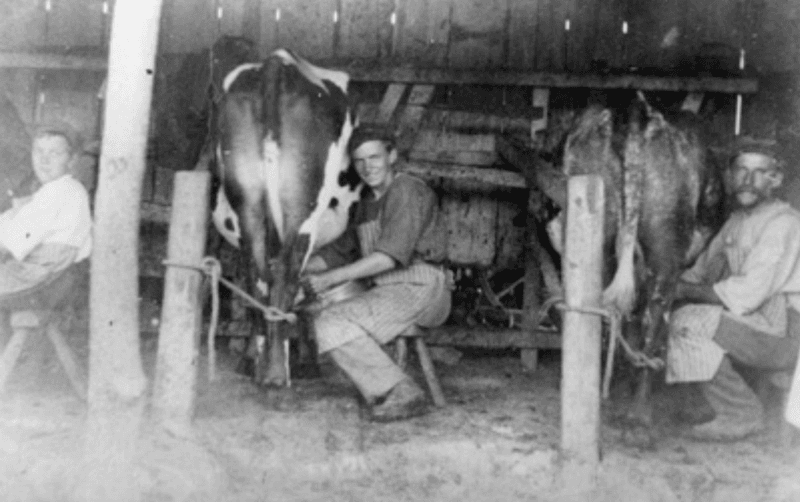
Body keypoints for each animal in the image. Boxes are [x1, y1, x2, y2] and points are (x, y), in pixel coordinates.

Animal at [214, 50, 360, 384]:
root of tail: (277, 62)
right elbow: (305, 295)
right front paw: (309, 361)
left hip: (248, 203)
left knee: (257, 273)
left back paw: (259, 366)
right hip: (302, 208)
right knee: (287, 271)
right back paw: (277, 374)